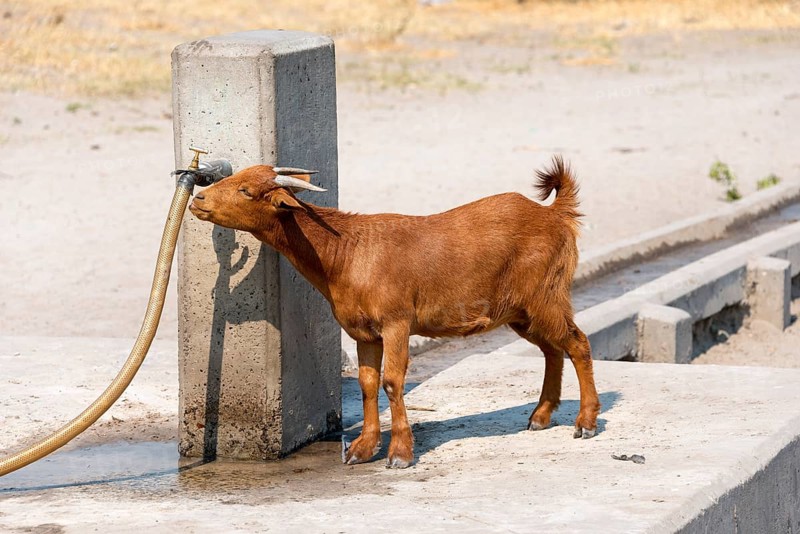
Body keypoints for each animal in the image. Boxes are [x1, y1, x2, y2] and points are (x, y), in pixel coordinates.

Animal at [189, 156, 600, 469]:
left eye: (246, 191)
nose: (197, 199)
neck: (345, 253)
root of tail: (555, 214)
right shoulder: (363, 332)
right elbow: (368, 383)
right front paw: (361, 449)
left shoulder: (396, 322)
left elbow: (392, 381)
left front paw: (400, 452)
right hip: (521, 311)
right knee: (552, 349)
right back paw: (540, 416)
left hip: (546, 294)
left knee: (577, 343)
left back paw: (585, 422)